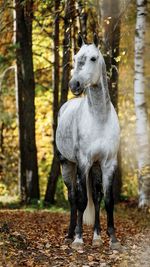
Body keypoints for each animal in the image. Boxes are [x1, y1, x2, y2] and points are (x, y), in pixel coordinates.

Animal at [56, 34, 120, 251]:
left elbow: (108, 200)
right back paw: (69, 235)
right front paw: (78, 239)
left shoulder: (108, 164)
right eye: (76, 58)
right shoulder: (83, 163)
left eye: (93, 58)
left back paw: (97, 236)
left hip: (95, 167)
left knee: (97, 197)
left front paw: (112, 239)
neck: (99, 118)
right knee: (73, 198)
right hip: (67, 164)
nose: (74, 85)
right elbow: (82, 200)